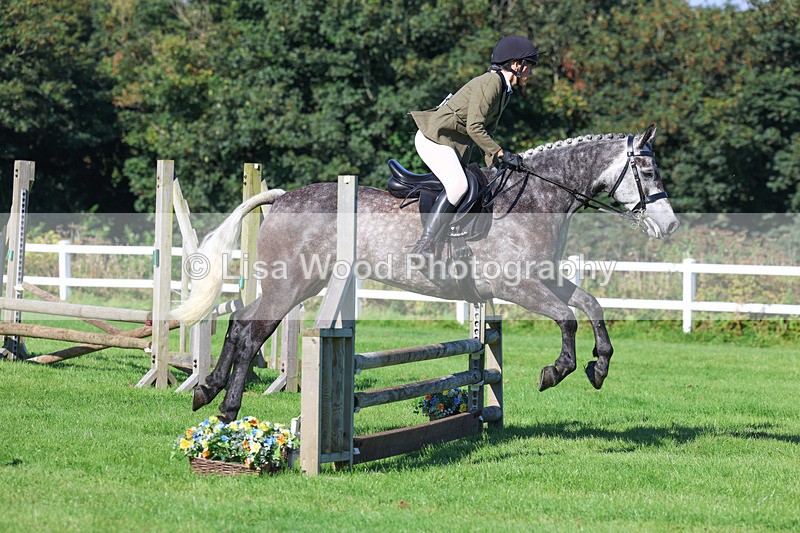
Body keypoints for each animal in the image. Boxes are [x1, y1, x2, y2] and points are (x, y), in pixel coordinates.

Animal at [173, 124, 679, 423]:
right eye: (647, 170)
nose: (670, 225)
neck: (536, 199)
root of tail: (280, 198)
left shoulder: (545, 278)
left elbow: (590, 304)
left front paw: (599, 367)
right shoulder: (516, 285)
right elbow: (567, 317)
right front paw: (556, 371)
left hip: (297, 283)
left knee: (240, 322)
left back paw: (207, 392)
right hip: (291, 284)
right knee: (253, 333)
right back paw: (228, 410)